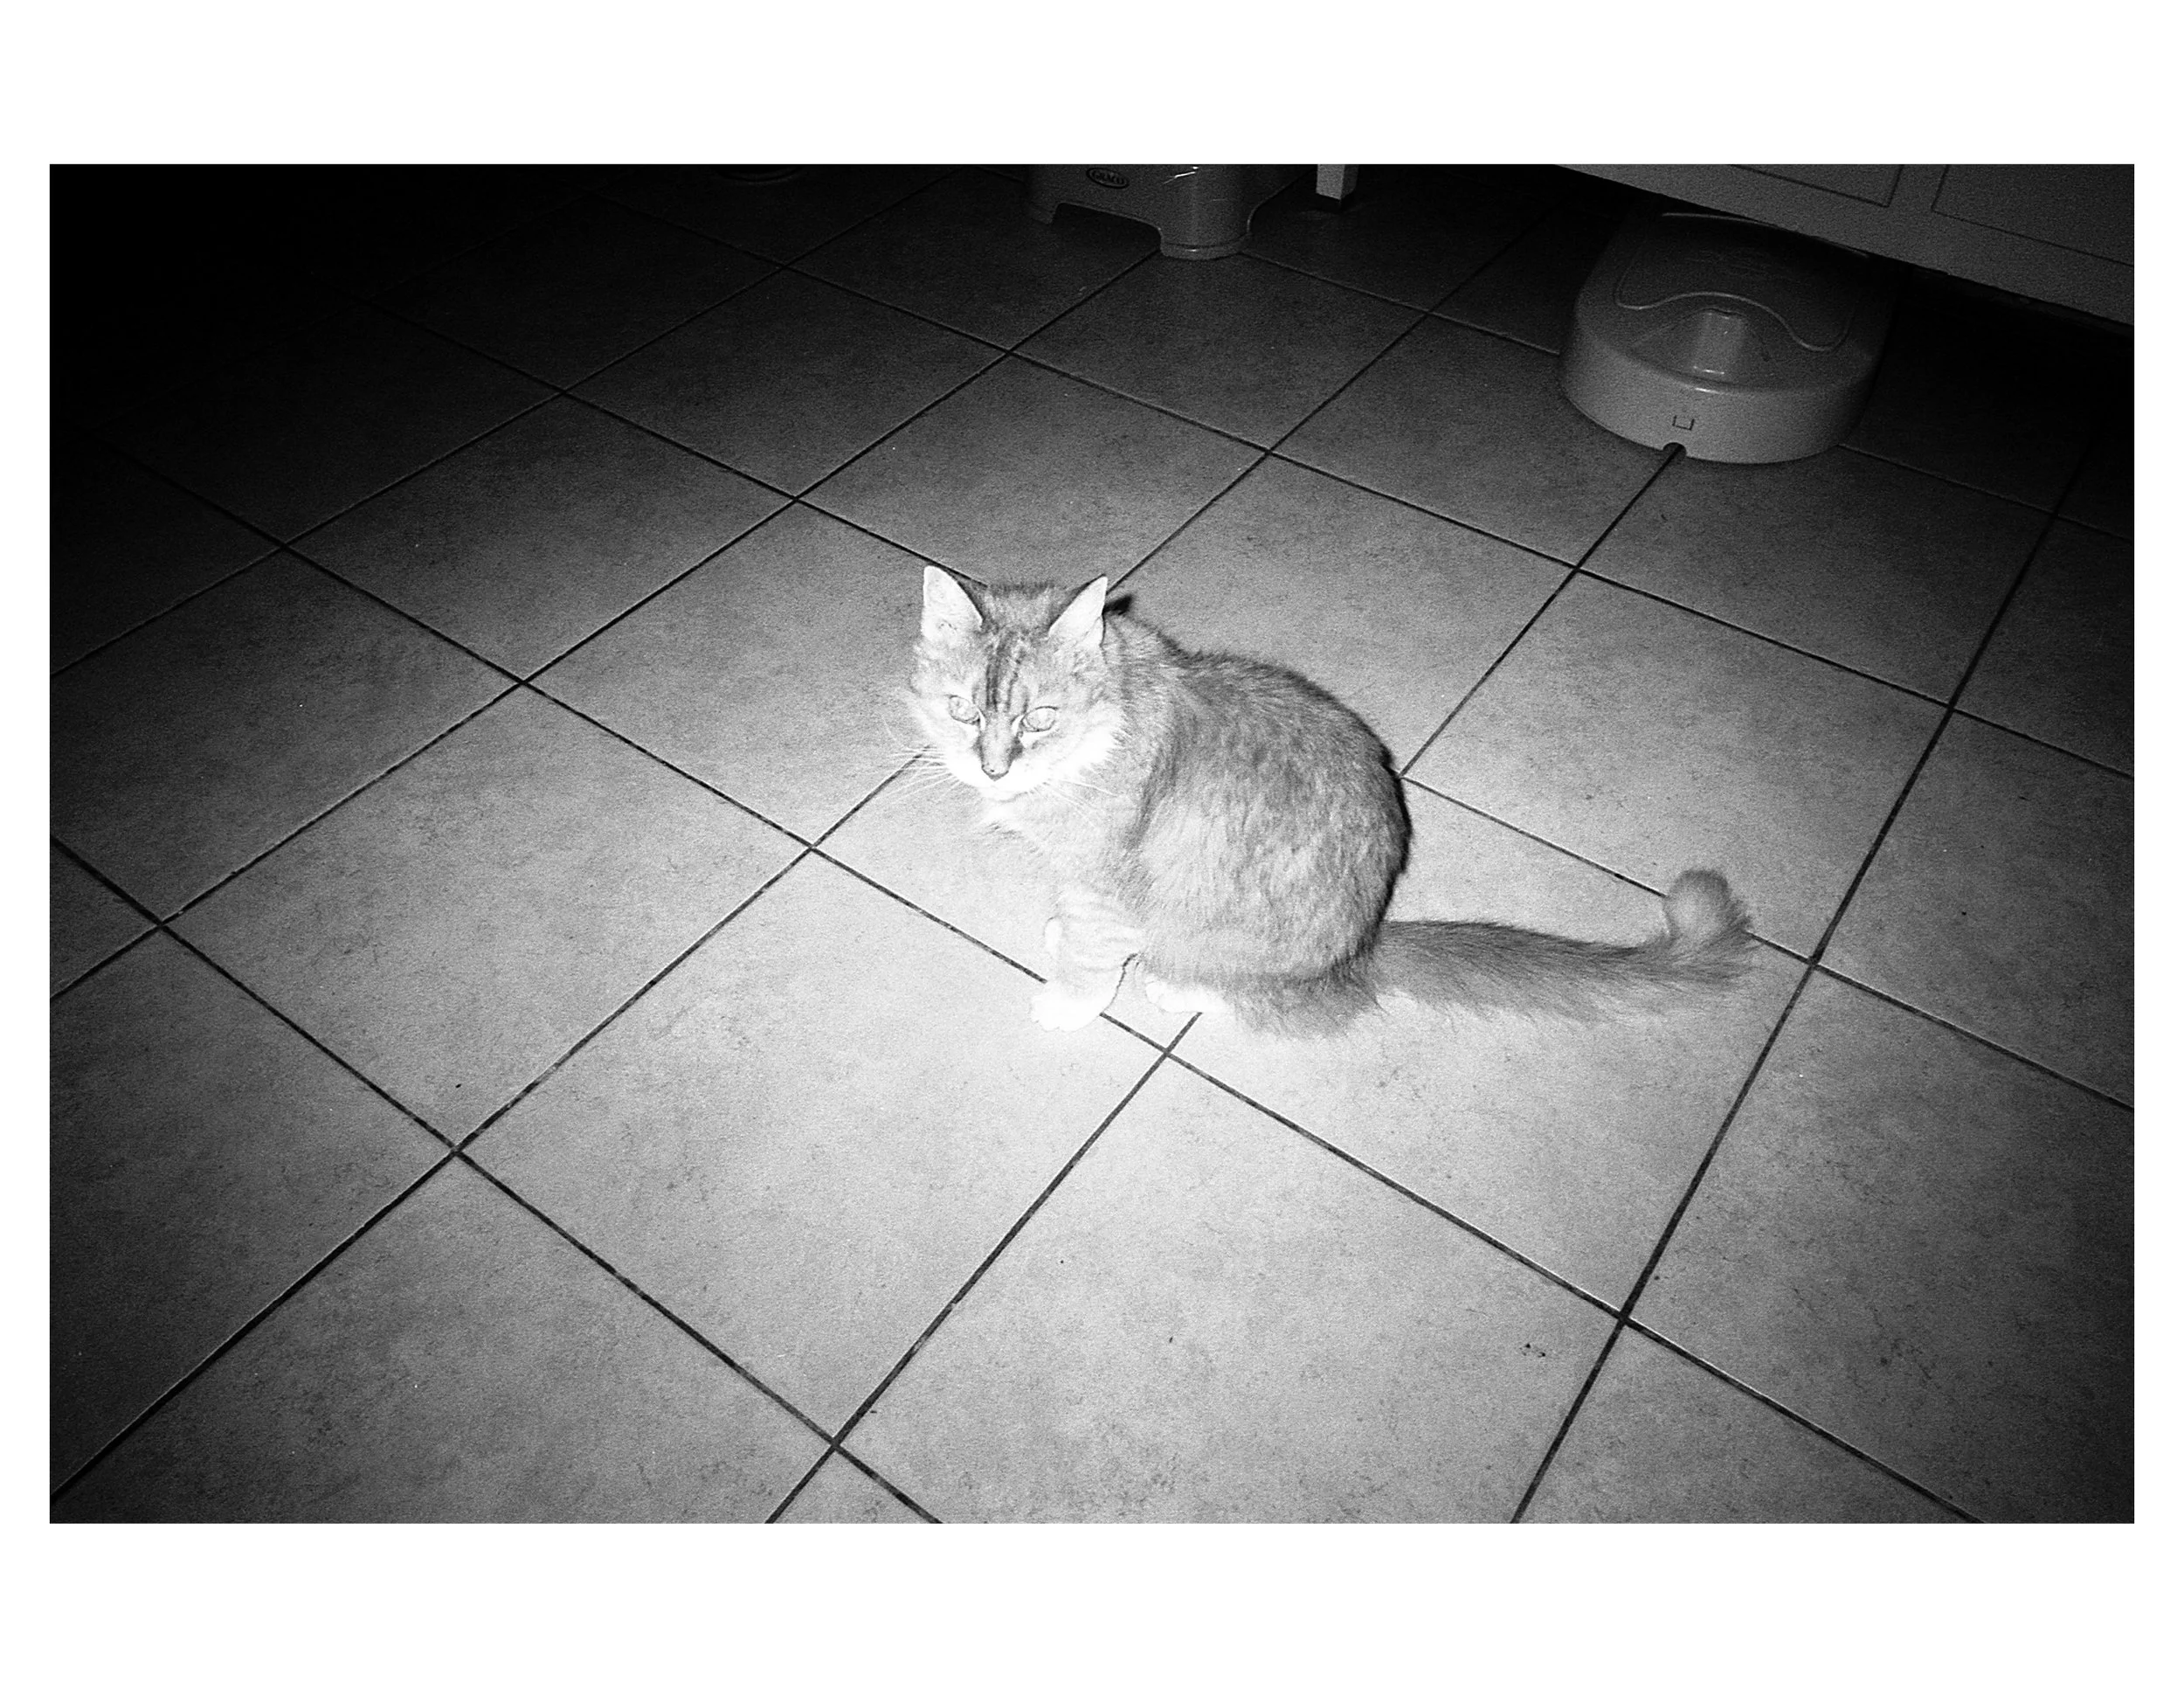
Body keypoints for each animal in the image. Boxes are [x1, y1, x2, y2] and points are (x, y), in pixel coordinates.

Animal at [910, 565, 1753, 1034]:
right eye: (963, 711)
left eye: (1039, 718)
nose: (992, 770)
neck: (1108, 728)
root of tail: (1364, 949)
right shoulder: (1078, 875)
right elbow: (1075, 922)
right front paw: (1059, 934)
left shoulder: (1109, 886)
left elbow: (1091, 954)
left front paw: (1069, 998)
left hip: (1225, 946)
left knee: (1246, 996)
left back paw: (1173, 982)